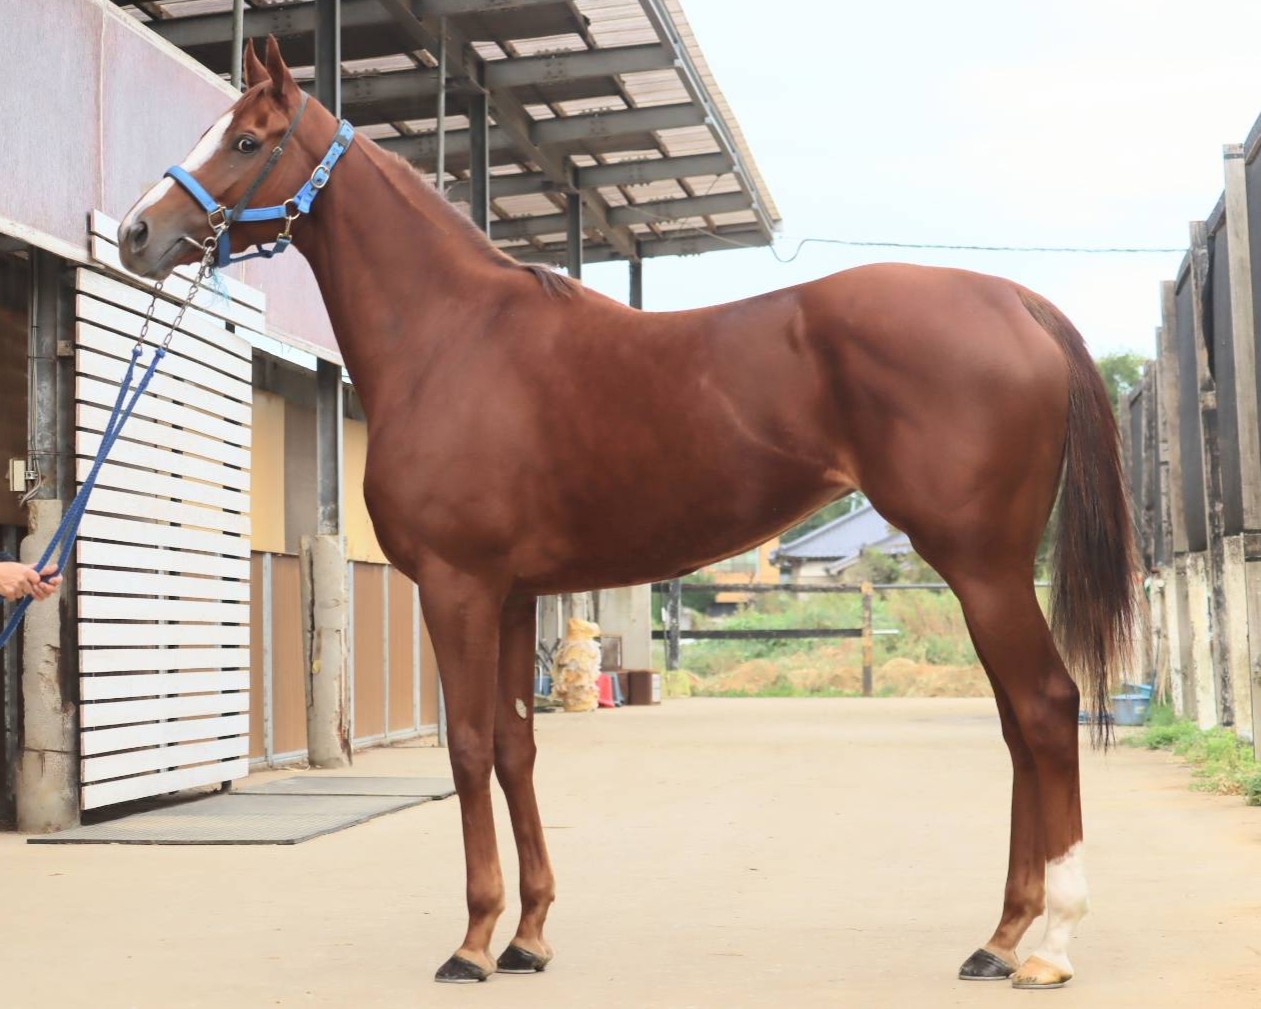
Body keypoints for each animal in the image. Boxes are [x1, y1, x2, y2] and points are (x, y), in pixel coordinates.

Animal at [118, 37, 1136, 991]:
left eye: (246, 140)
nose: (136, 232)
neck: (451, 338)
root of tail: (1017, 301)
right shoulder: (513, 593)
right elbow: (517, 747)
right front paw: (528, 935)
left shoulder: (456, 586)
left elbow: (468, 748)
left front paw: (472, 943)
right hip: (982, 572)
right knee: (1016, 726)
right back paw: (999, 936)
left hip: (982, 566)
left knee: (1046, 709)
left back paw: (1050, 945)